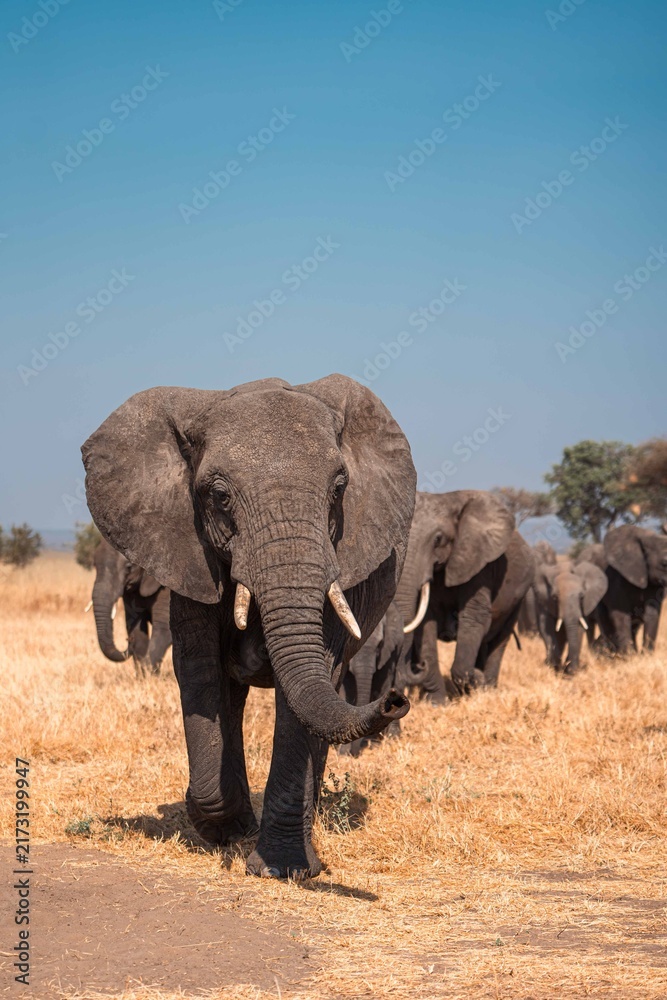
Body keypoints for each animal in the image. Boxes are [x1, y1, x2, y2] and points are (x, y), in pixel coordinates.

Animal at [90, 538, 172, 677]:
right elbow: (137, 628)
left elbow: (164, 628)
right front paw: (143, 678)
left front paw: (150, 676)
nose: (129, 639)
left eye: (129, 567)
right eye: (95, 565)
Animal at [340, 600, 405, 756]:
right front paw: (343, 752)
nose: (355, 753)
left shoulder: (387, 652)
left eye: (380, 644)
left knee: (398, 682)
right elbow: (347, 691)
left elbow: (382, 685)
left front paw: (373, 745)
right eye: (351, 646)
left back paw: (393, 738)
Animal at [394, 491, 534, 700]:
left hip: (519, 597)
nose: (419, 666)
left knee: (500, 639)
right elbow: (427, 623)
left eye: (438, 539)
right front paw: (437, 702)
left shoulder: (481, 564)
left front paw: (475, 681)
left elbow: (474, 617)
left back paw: (488, 689)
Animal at [584, 526, 667, 654]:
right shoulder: (615, 579)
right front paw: (629, 656)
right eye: (664, 563)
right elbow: (620, 615)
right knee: (604, 620)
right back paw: (613, 654)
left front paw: (645, 655)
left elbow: (652, 613)